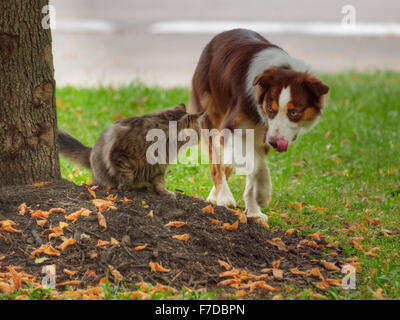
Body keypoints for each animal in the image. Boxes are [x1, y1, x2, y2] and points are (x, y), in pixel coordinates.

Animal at [57, 104, 202, 196]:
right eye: (199, 130)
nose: (201, 138)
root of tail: (91, 152)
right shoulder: (119, 154)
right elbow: (126, 174)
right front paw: (126, 187)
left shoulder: (159, 166)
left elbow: (160, 181)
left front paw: (164, 192)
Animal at [189, 28, 330, 222]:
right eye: (270, 108)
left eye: (294, 113)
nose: (274, 142)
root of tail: (219, 35)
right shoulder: (231, 128)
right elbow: (255, 165)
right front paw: (262, 194)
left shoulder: (261, 136)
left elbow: (252, 171)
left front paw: (254, 211)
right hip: (211, 115)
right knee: (216, 162)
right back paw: (223, 196)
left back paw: (214, 196)